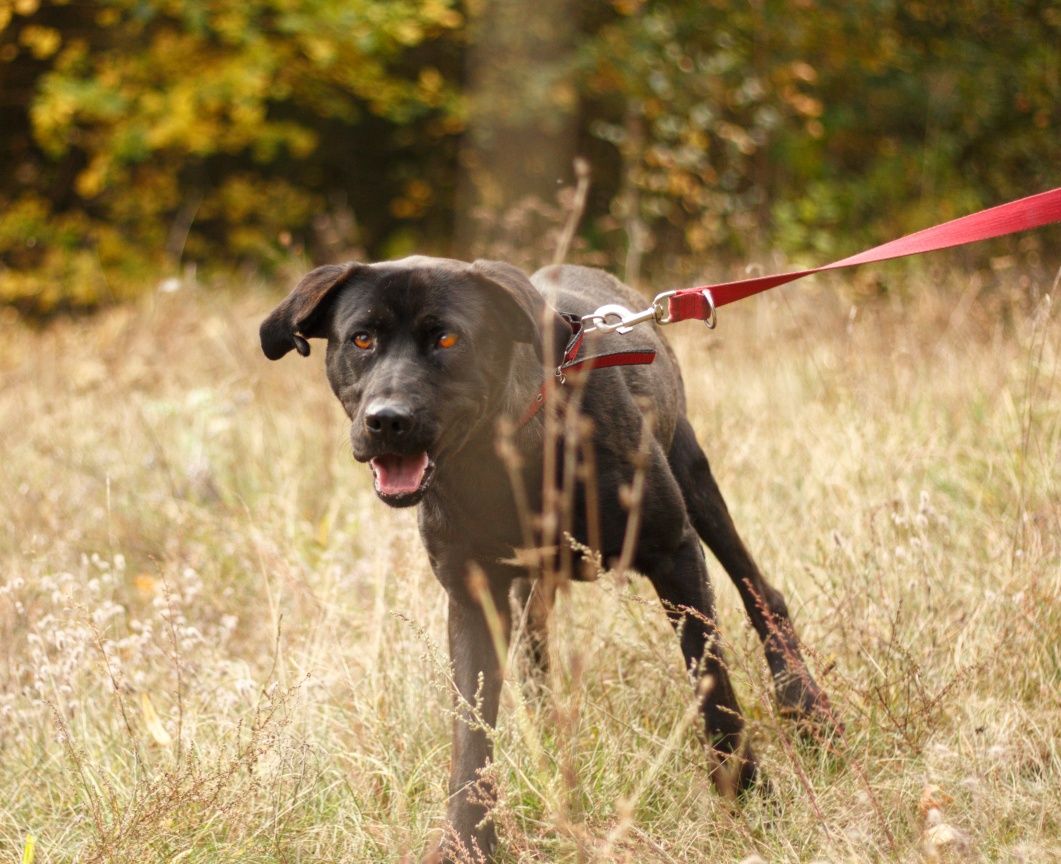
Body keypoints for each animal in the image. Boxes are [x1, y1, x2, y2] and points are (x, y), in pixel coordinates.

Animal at [258, 258, 836, 864]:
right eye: (361, 339)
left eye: (447, 339)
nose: (387, 420)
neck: (505, 451)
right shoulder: (473, 596)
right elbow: (472, 729)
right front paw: (467, 839)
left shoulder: (673, 552)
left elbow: (712, 683)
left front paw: (746, 795)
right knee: (535, 657)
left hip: (696, 482)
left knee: (760, 591)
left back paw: (806, 708)